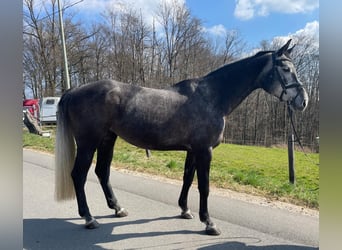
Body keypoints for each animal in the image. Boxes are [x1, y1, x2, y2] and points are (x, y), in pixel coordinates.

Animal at [55, 40, 308, 235]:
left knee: (102, 172)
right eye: (285, 69)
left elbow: (187, 179)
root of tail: (73, 90)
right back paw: (89, 218)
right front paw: (209, 223)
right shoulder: (205, 151)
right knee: (79, 175)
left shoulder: (193, 150)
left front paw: (185, 210)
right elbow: (204, 186)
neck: (212, 97)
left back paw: (118, 209)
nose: (303, 101)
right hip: (88, 143)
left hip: (108, 139)